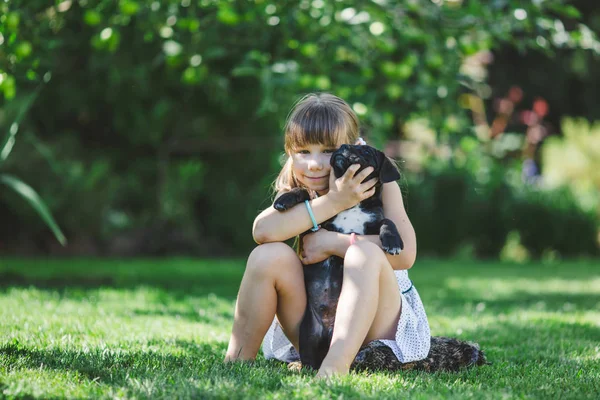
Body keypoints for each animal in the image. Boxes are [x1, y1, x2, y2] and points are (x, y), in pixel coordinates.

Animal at [276, 144, 488, 372]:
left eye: (367, 152)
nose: (344, 147)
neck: (353, 205)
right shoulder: (313, 229)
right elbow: (306, 193)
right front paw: (283, 200)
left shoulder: (373, 222)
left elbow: (388, 221)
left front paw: (393, 241)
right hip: (308, 333)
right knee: (310, 358)